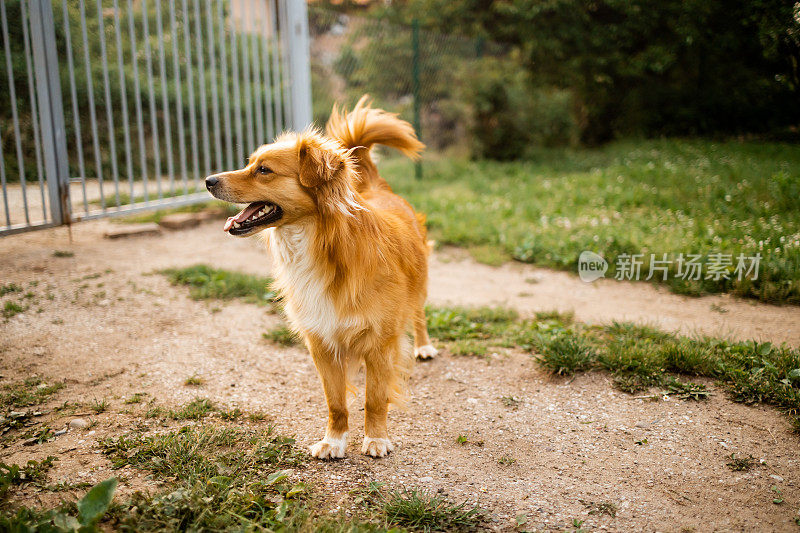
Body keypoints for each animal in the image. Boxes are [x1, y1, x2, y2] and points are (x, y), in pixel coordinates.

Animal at [205, 96, 438, 458]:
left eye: (264, 170)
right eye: (250, 164)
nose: (208, 180)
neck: (318, 243)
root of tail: (376, 186)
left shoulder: (380, 342)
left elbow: (375, 399)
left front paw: (376, 438)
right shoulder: (321, 342)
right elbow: (336, 402)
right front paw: (334, 440)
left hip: (420, 285)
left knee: (418, 314)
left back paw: (425, 346)